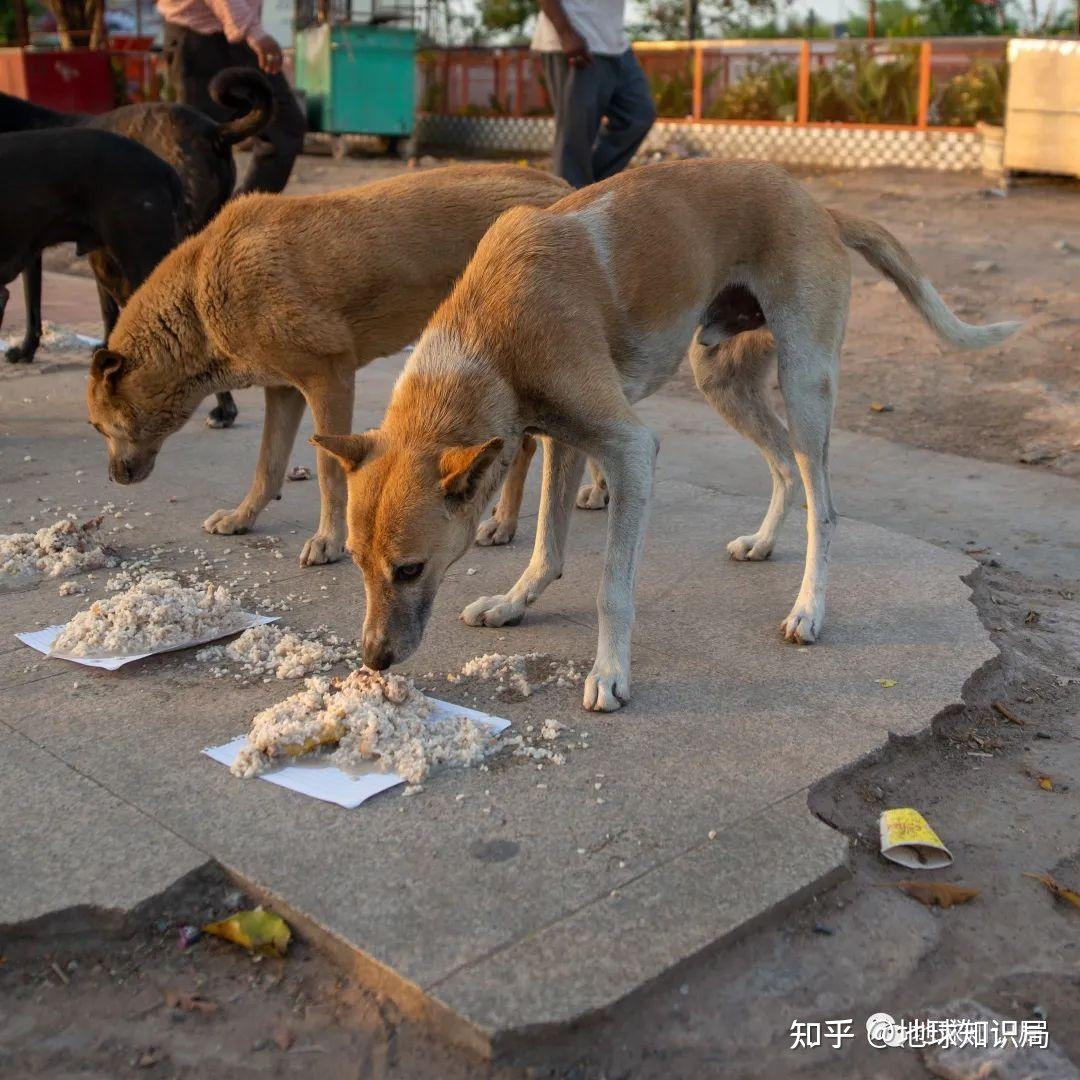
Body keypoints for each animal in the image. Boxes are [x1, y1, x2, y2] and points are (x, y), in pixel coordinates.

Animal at [83, 164, 570, 565]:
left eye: (100, 426)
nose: (113, 478)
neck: (198, 300)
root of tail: (561, 189)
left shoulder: (329, 378)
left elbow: (328, 470)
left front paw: (329, 540)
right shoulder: (283, 391)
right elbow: (268, 466)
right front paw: (244, 517)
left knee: (530, 445)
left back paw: (513, 518)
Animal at [315, 152, 1019, 708]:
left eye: (410, 570)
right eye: (357, 561)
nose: (372, 658)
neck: (489, 330)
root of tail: (818, 205)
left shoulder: (630, 450)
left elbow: (611, 588)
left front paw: (610, 673)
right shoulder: (564, 438)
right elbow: (548, 546)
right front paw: (514, 603)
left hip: (805, 384)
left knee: (824, 507)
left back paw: (808, 610)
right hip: (722, 377)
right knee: (783, 467)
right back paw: (764, 542)